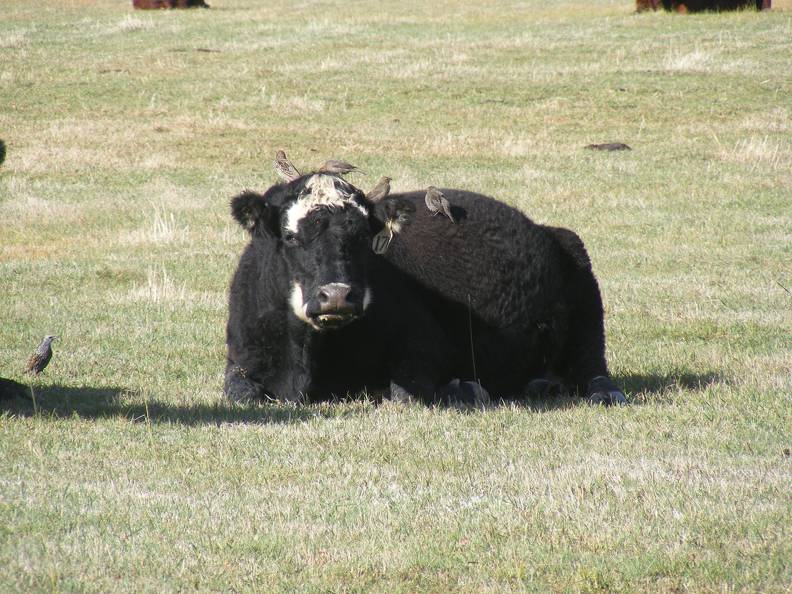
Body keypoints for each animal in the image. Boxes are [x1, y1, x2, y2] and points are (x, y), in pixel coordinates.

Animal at [223, 153, 624, 404]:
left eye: (364, 238)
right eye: (290, 236)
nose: (337, 295)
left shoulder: (424, 346)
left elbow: (405, 393)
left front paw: (463, 390)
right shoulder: (241, 361)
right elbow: (241, 393)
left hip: (582, 285)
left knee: (592, 366)